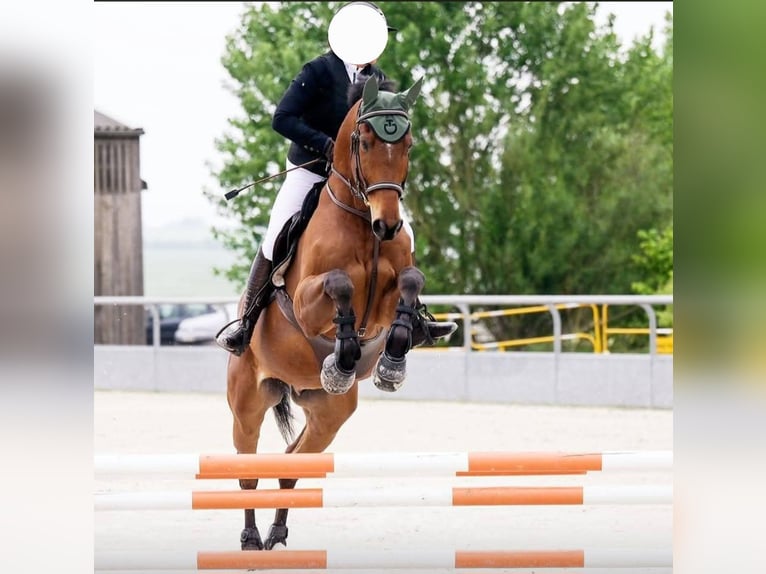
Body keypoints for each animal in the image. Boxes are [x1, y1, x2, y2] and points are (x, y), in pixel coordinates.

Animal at [226, 75, 429, 551]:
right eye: (365, 141)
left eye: (408, 143)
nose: (388, 225)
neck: (362, 222)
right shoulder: (305, 302)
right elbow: (340, 285)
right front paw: (343, 358)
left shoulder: (390, 294)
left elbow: (411, 282)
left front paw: (391, 363)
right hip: (247, 401)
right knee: (247, 469)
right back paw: (251, 539)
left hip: (329, 415)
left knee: (290, 464)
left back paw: (277, 533)